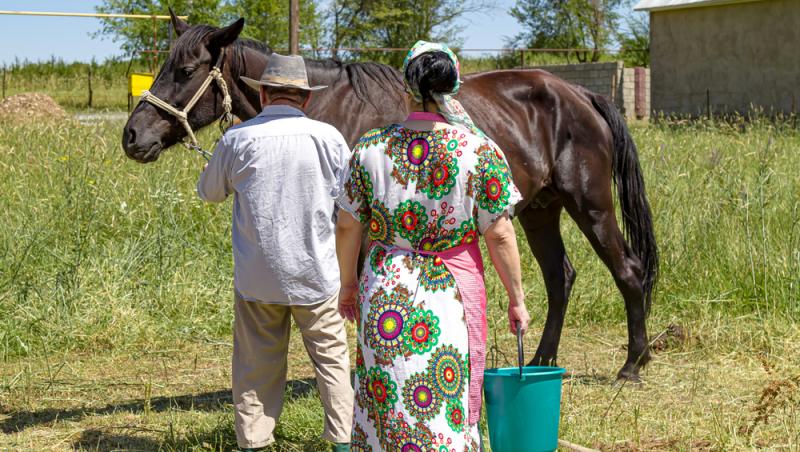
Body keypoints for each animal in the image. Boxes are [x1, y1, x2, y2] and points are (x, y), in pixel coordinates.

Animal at [122, 13, 660, 382]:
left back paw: (633, 364)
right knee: (559, 277)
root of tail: (579, 94)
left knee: (628, 272)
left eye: (185, 70)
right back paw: (545, 359)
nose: (132, 135)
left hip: (591, 205)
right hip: (540, 212)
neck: (324, 106)